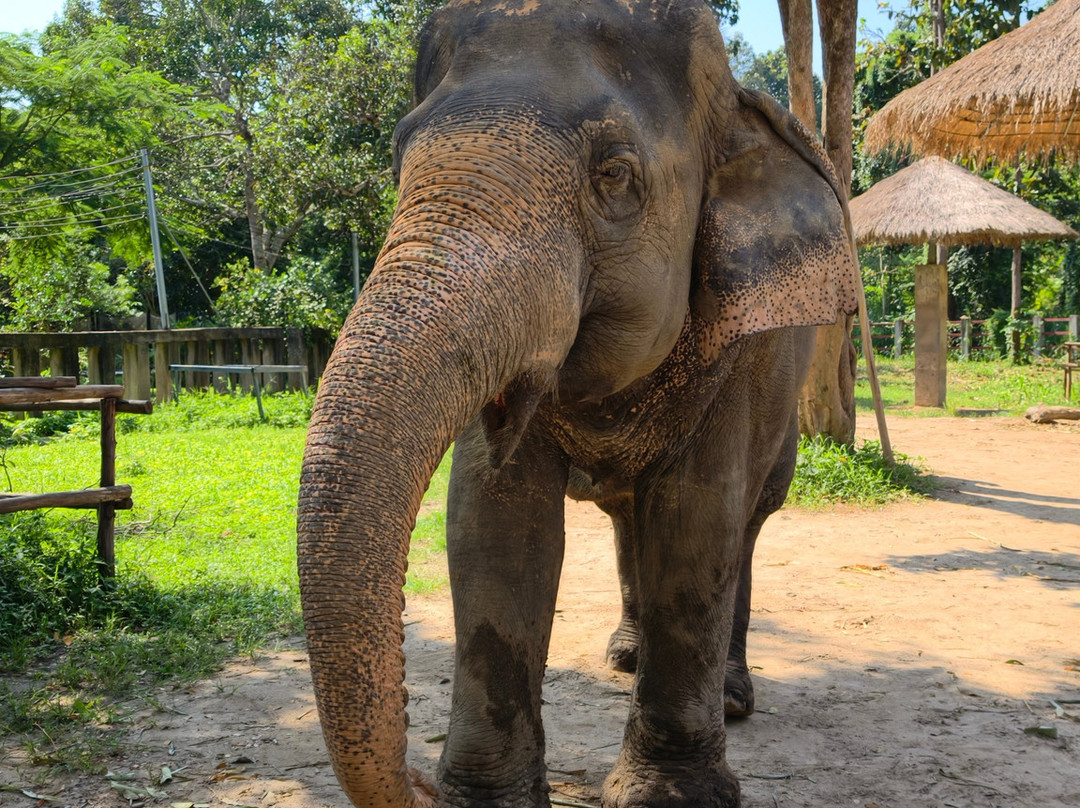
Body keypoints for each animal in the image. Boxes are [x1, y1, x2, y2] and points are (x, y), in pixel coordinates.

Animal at [297, 0, 858, 806]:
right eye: (398, 158)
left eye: (615, 175)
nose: (418, 780)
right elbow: (493, 523)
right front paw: (484, 799)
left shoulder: (739, 343)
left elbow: (695, 518)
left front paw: (669, 797)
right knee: (630, 517)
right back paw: (626, 654)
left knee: (744, 521)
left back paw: (729, 696)